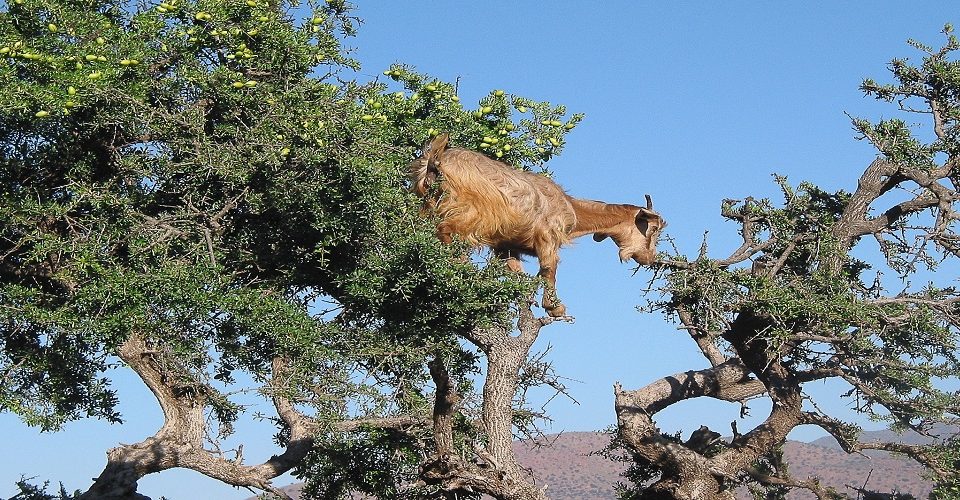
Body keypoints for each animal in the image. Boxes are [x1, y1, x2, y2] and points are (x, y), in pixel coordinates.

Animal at [408, 134, 664, 316]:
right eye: (652, 229)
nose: (650, 258)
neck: (572, 208)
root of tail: (436, 160)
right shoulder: (547, 237)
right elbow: (549, 269)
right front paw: (555, 307)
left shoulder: (507, 245)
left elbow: (517, 271)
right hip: (471, 214)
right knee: (446, 230)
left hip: (426, 205)